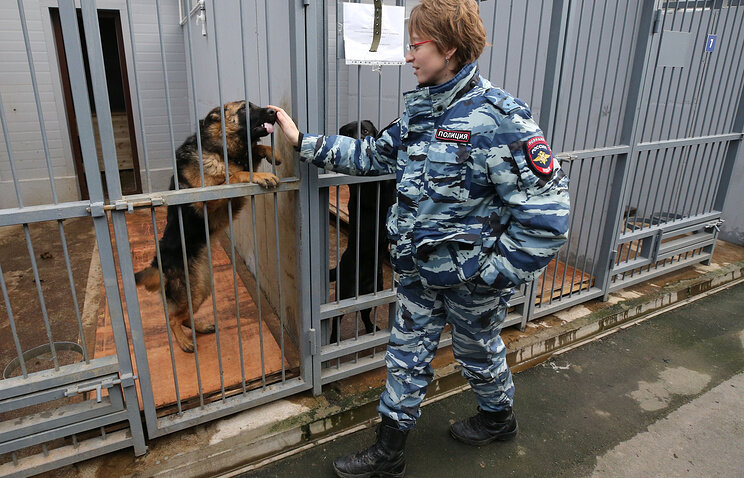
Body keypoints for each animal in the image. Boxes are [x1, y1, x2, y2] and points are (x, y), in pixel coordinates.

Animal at [135, 101, 280, 352]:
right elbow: (235, 175)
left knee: (185, 316)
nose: (274, 111)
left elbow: (251, 155)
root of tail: (158, 264)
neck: (219, 150)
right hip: (190, 292)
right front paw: (260, 174)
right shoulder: (208, 199)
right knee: (173, 318)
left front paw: (270, 152)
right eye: (245, 108)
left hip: (202, 288)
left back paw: (201, 327)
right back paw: (184, 342)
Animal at [326, 119, 392, 344]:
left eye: (364, 131)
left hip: (375, 292)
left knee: (364, 313)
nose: (359, 143)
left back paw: (371, 328)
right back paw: (332, 341)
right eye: (347, 134)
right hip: (345, 294)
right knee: (335, 321)